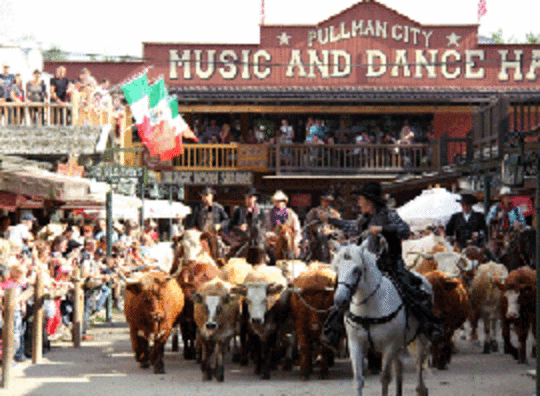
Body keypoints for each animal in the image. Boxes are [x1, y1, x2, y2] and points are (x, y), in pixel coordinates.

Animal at [334, 241, 430, 396]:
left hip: (420, 339)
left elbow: (385, 379)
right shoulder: (355, 343)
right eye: (337, 268)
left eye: (356, 270)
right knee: (399, 369)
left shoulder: (389, 346)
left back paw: (421, 388)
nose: (339, 301)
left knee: (418, 366)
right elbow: (358, 379)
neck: (369, 309)